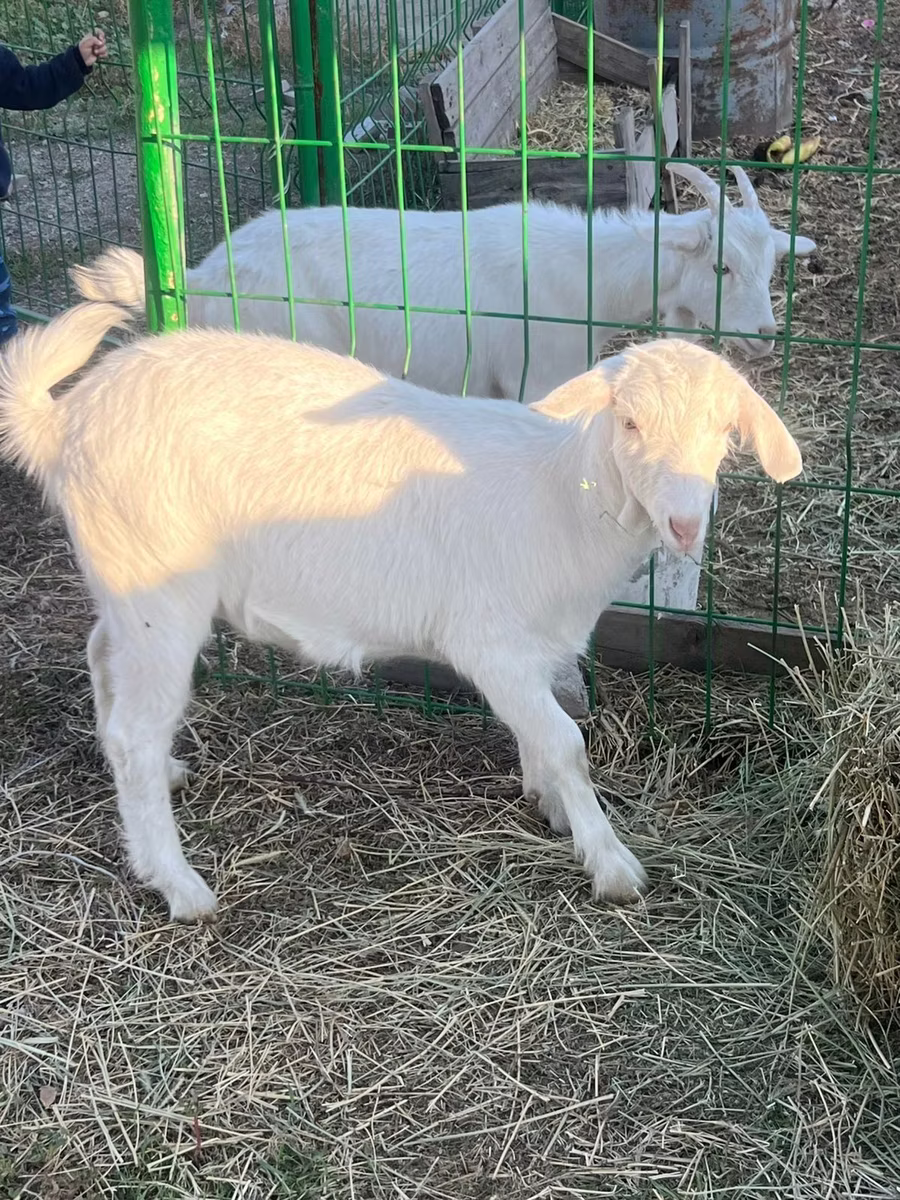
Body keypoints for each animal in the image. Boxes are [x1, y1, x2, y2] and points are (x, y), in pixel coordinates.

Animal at [0, 252, 803, 922]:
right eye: (629, 422)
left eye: (724, 432)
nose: (685, 524)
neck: (566, 498)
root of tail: (63, 420)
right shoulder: (490, 642)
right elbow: (565, 741)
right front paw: (610, 862)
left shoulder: (535, 647)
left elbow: (540, 736)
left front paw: (547, 801)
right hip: (158, 586)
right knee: (136, 729)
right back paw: (180, 884)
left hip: (124, 575)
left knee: (103, 661)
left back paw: (157, 783)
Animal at [75, 165, 816, 408]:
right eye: (721, 267)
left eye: (771, 267)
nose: (765, 336)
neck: (588, 277)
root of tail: (201, 276)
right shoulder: (534, 380)